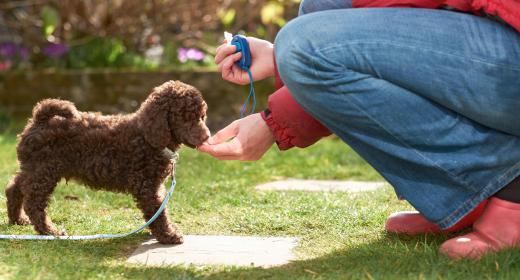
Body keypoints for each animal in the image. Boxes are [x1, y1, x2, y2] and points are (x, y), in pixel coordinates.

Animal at [4, 80, 210, 244]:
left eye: (202, 116)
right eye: (185, 117)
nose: (207, 137)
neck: (147, 136)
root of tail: (39, 120)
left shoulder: (154, 185)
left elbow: (159, 209)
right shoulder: (146, 185)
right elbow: (158, 212)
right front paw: (169, 235)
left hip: (33, 168)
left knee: (14, 188)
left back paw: (17, 219)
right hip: (44, 171)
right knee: (34, 203)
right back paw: (49, 231)